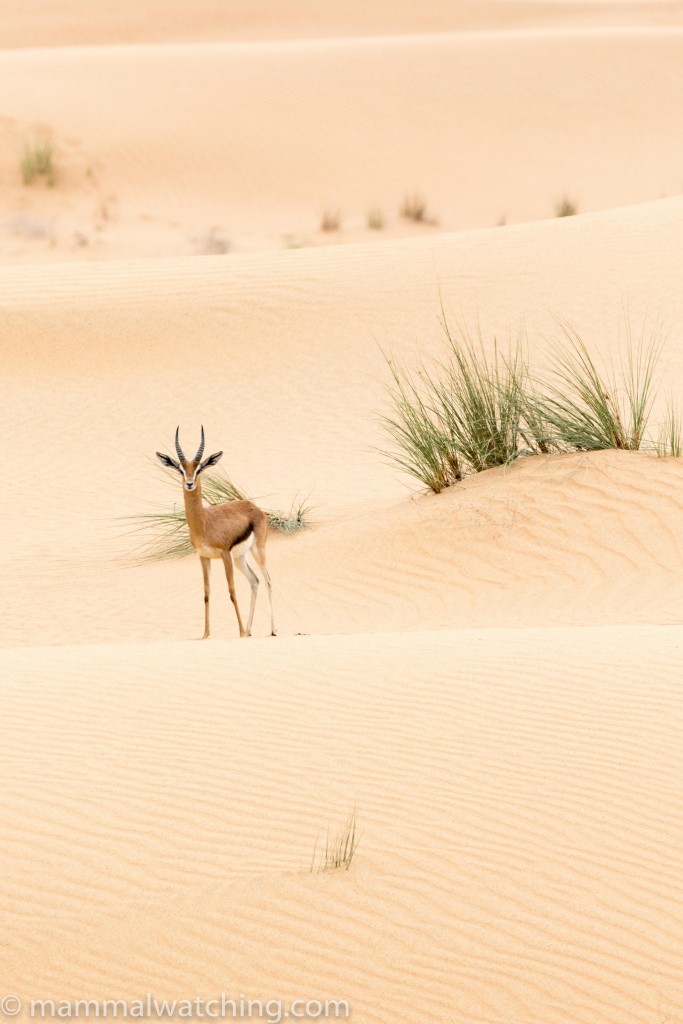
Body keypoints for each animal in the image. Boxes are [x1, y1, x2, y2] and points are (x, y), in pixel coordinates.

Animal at [156, 427, 276, 639]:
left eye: (199, 469)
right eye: (181, 469)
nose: (189, 483)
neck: (204, 523)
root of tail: (255, 508)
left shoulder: (224, 554)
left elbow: (232, 591)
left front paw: (239, 632)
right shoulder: (203, 557)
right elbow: (206, 593)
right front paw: (205, 634)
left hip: (257, 550)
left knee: (268, 581)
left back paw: (272, 630)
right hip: (240, 558)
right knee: (255, 581)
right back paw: (249, 631)